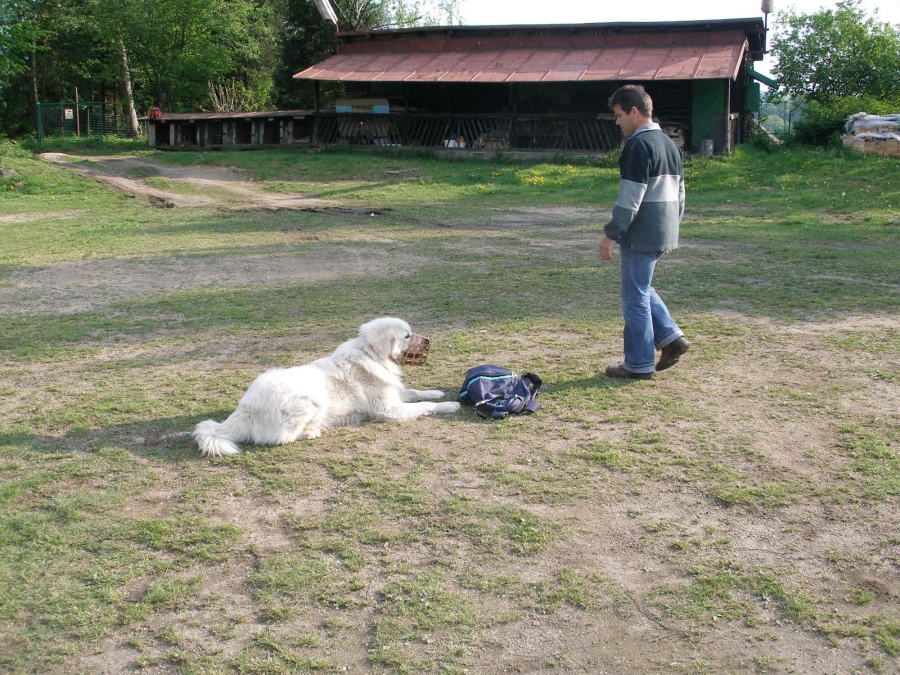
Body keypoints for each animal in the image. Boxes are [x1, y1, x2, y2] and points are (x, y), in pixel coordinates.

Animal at [192, 317, 460, 458]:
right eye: (406, 336)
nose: (428, 341)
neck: (372, 355)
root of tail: (245, 409)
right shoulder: (388, 409)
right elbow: (426, 405)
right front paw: (449, 405)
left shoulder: (394, 392)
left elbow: (415, 392)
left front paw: (436, 392)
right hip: (310, 400)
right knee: (281, 438)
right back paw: (311, 432)